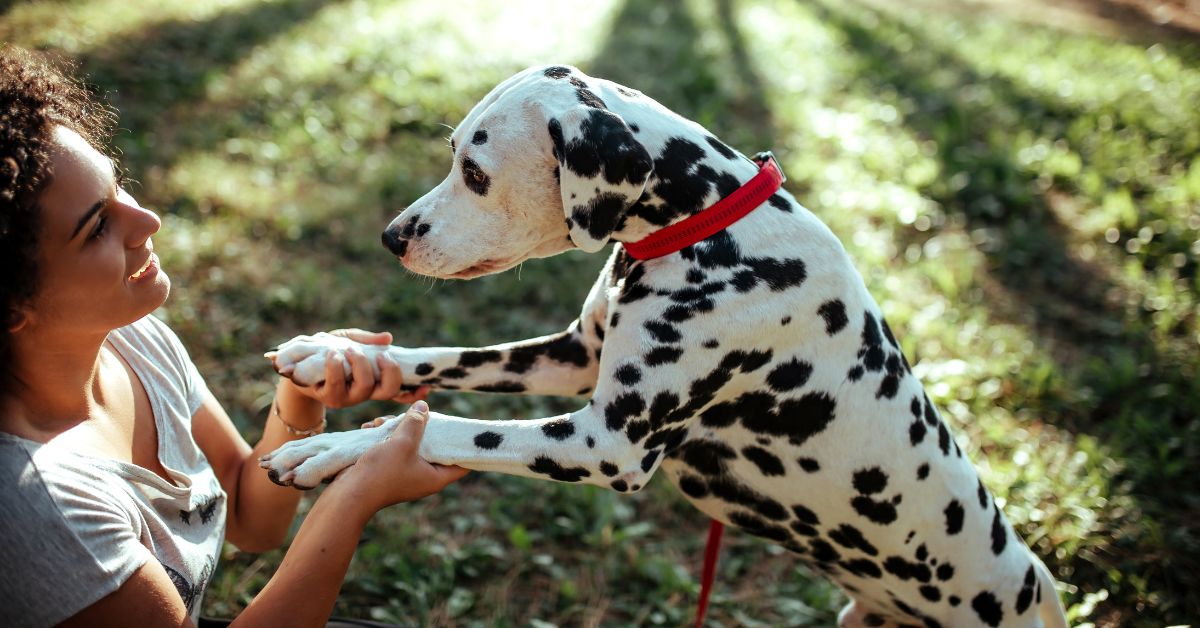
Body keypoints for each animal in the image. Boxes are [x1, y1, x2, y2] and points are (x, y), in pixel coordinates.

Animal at [262, 65, 1070, 628]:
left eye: (476, 173)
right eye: (453, 151)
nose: (391, 237)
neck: (708, 229)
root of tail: (1039, 590)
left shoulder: (606, 443)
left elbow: (446, 426)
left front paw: (332, 450)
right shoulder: (570, 359)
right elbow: (445, 360)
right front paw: (335, 355)